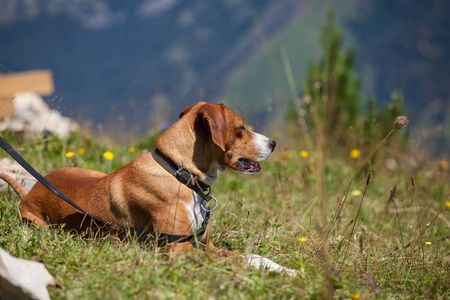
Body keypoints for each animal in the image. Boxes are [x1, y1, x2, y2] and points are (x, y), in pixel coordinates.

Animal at [0, 102, 298, 276]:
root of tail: (30, 192)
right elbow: (228, 261)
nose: (273, 143)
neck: (180, 173)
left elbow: (252, 256)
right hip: (36, 224)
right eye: (241, 129)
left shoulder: (205, 244)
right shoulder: (179, 250)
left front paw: (285, 270)